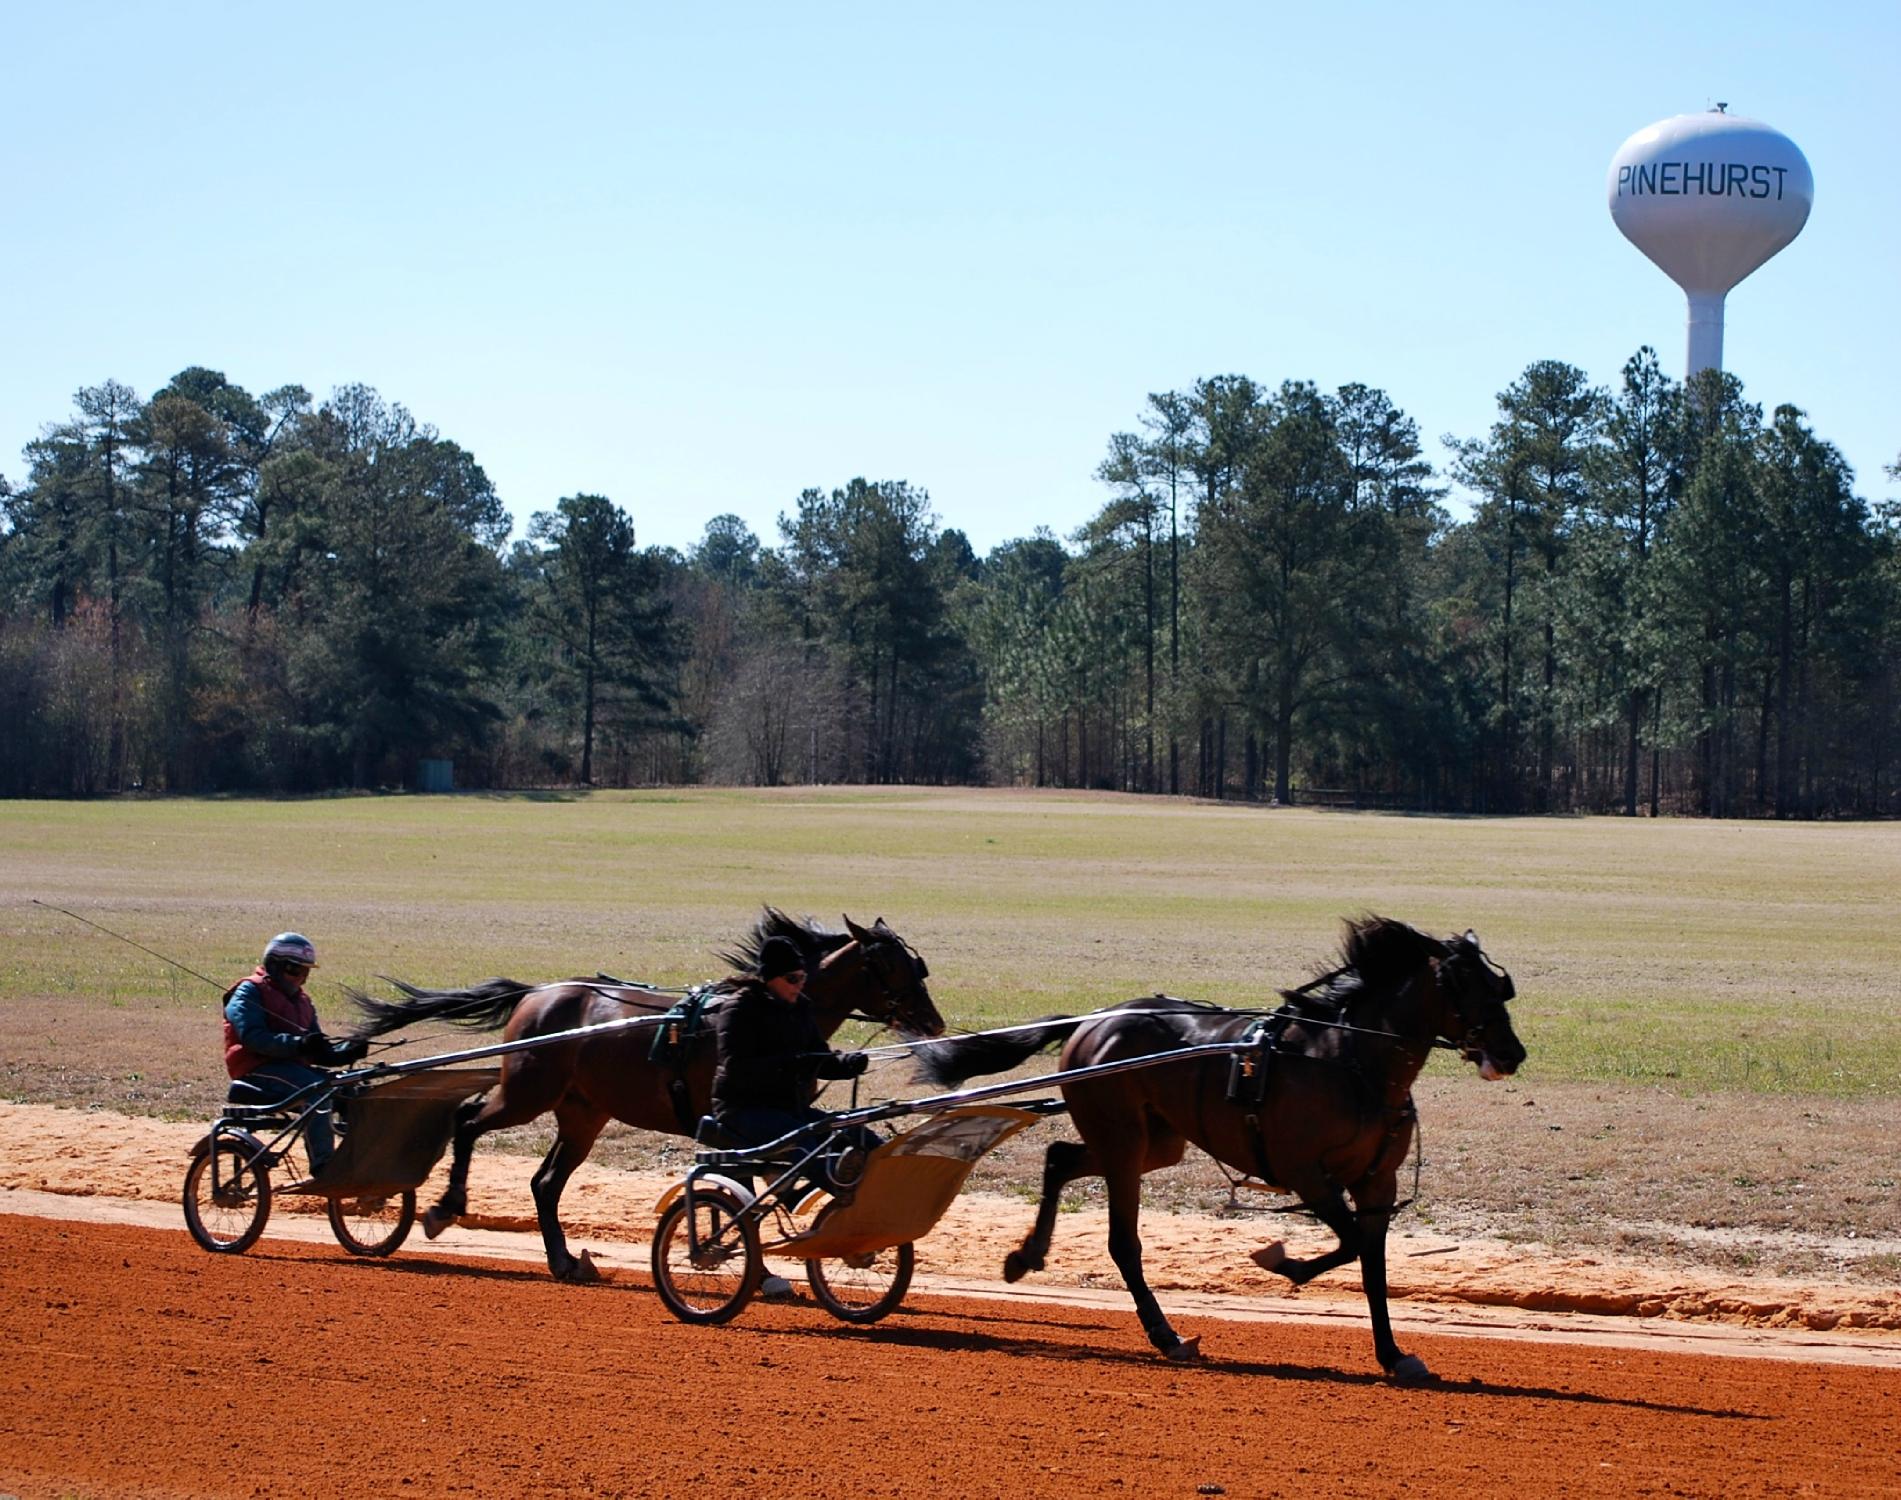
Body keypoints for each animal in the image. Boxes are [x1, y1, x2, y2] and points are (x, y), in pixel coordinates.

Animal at [349, 908, 942, 1285]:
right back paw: (446, 1207)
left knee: (545, 1184)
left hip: (582, 1113)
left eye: (916, 964)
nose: (933, 1022)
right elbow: (742, 1190)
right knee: (469, 1120)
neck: (776, 1010)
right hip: (527, 1092)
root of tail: (538, 993)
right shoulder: (730, 1124)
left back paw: (564, 1261)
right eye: (889, 966)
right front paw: (747, 1263)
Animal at [912, 912, 1520, 1384]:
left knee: (1060, 1157)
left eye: (1499, 987)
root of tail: (1097, 1019)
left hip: (1155, 1141)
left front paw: (1393, 1356)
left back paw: (1027, 1255)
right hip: (1122, 1139)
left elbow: (1371, 1262)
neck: (1345, 1062)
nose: (1513, 1052)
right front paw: (1282, 1261)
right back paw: (1165, 1334)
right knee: (1122, 1241)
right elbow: (1347, 1245)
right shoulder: (1307, 1173)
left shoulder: (1376, 1181)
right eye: (1465, 987)